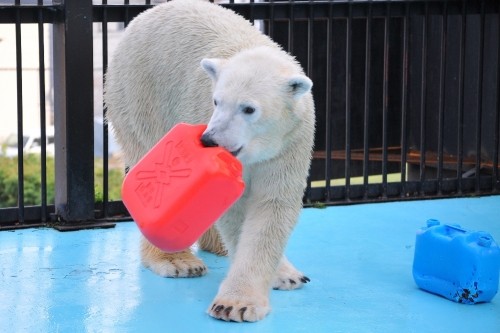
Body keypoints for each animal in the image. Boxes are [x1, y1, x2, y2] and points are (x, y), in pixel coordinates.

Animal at [105, 0, 314, 322]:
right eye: (217, 101)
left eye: (249, 108)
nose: (210, 140)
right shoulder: (201, 109)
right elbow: (233, 207)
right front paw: (235, 304)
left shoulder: (290, 144)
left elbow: (272, 205)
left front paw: (281, 278)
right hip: (139, 93)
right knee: (146, 151)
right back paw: (177, 261)